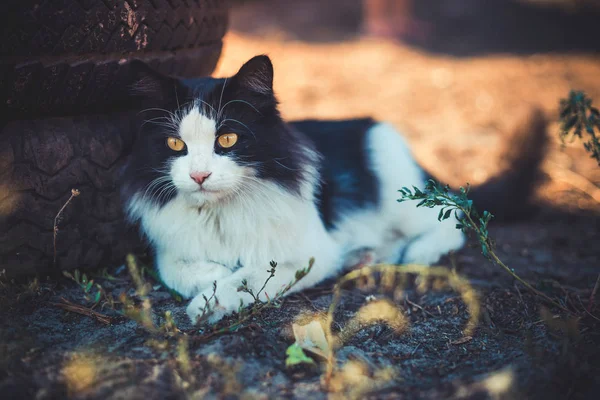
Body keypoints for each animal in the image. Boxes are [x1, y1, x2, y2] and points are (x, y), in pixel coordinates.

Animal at [119, 54, 548, 324]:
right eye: (175, 144)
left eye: (226, 139)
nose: (199, 176)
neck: (220, 212)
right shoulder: (171, 249)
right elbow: (177, 269)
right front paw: (210, 279)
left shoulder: (308, 252)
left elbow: (249, 275)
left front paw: (211, 303)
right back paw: (363, 257)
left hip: (400, 190)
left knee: (454, 216)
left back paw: (416, 253)